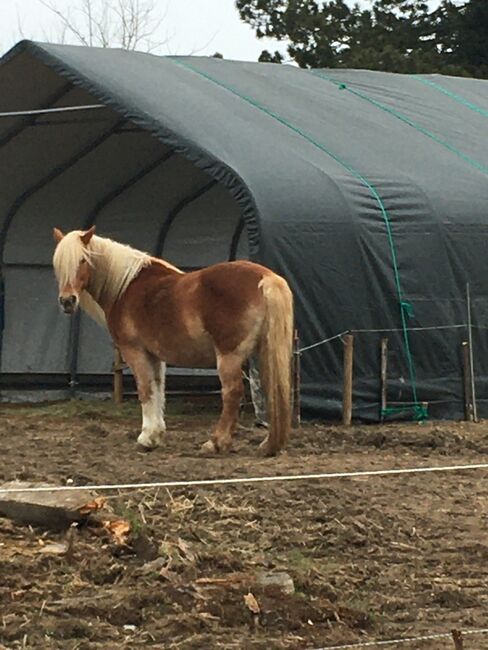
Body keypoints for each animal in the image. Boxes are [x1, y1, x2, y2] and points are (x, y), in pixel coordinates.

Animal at [51, 225, 294, 454]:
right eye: (58, 265)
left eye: (82, 260)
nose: (67, 301)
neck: (125, 286)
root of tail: (266, 278)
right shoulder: (156, 356)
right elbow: (158, 391)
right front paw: (156, 435)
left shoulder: (135, 352)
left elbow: (145, 390)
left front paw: (146, 439)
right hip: (263, 353)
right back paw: (268, 444)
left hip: (229, 356)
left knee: (232, 393)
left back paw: (215, 443)